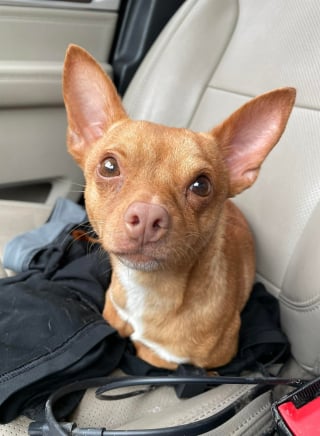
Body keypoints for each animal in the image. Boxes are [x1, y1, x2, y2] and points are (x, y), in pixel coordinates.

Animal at [62, 44, 296, 370]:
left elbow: (150, 352)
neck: (148, 288)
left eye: (201, 185)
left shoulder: (176, 363)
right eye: (109, 167)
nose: (147, 216)